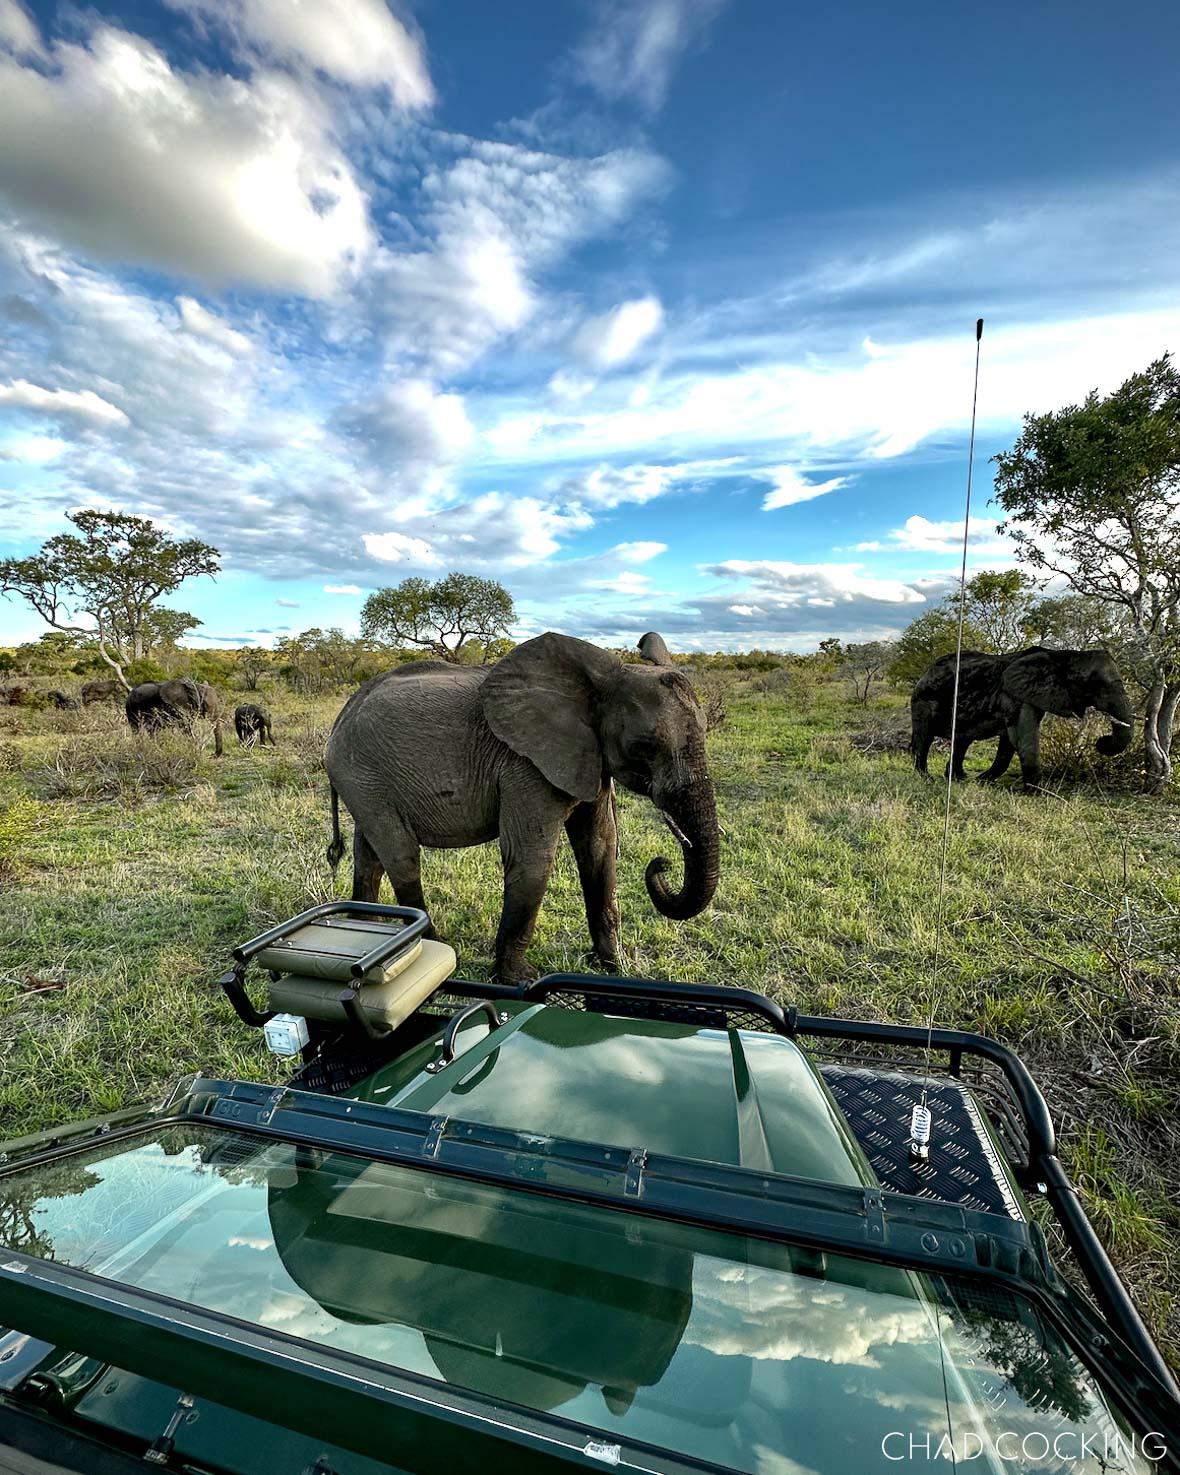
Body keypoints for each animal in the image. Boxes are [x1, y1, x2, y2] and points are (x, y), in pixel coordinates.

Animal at [325, 631, 720, 985]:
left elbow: (600, 847)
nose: (663, 863)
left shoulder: (590, 757)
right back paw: (433, 950)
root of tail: (342, 716)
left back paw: (364, 930)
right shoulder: (525, 764)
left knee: (369, 856)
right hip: (362, 774)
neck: (594, 688)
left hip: (365, 783)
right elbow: (533, 857)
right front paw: (518, 979)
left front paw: (613, 966)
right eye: (644, 746)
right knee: (402, 856)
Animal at [910, 646, 1133, 792]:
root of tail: (926, 671)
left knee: (962, 741)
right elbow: (1022, 738)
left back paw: (958, 779)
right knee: (924, 737)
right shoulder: (1014, 696)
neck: (1061, 655)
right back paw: (926, 778)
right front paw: (1034, 793)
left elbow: (1009, 744)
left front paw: (981, 782)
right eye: (1097, 684)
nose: (1101, 741)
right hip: (923, 700)